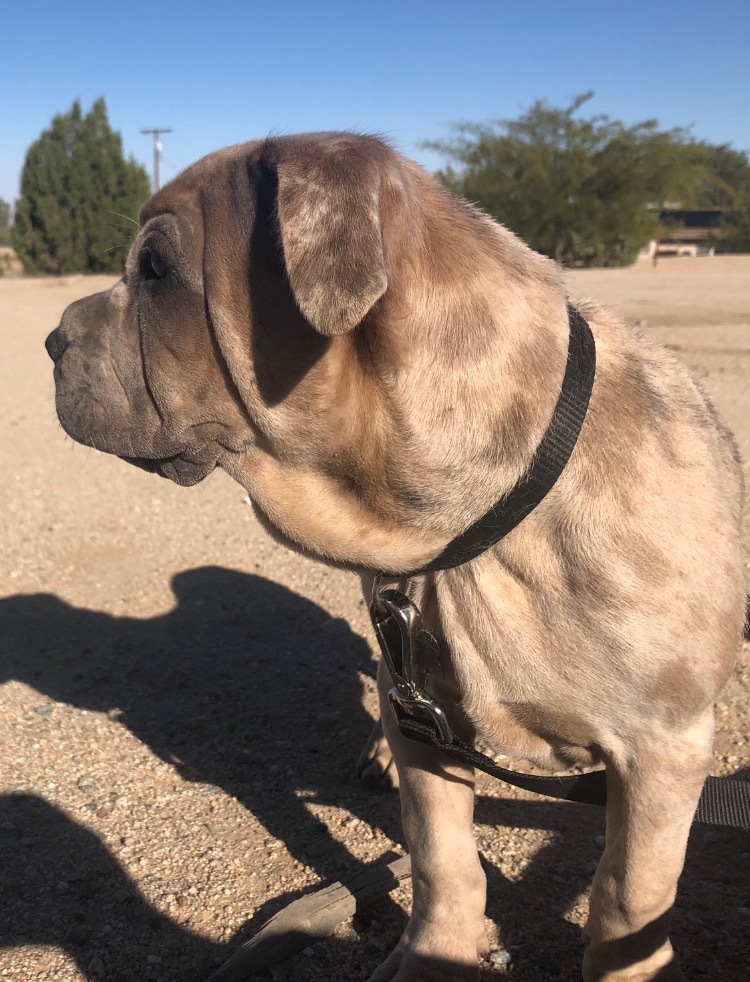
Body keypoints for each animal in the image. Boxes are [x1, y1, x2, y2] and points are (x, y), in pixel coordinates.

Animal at [47, 133, 748, 982]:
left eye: (155, 270)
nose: (51, 339)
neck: (474, 531)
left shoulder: (664, 750)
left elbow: (626, 900)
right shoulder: (421, 713)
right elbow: (441, 856)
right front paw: (436, 953)